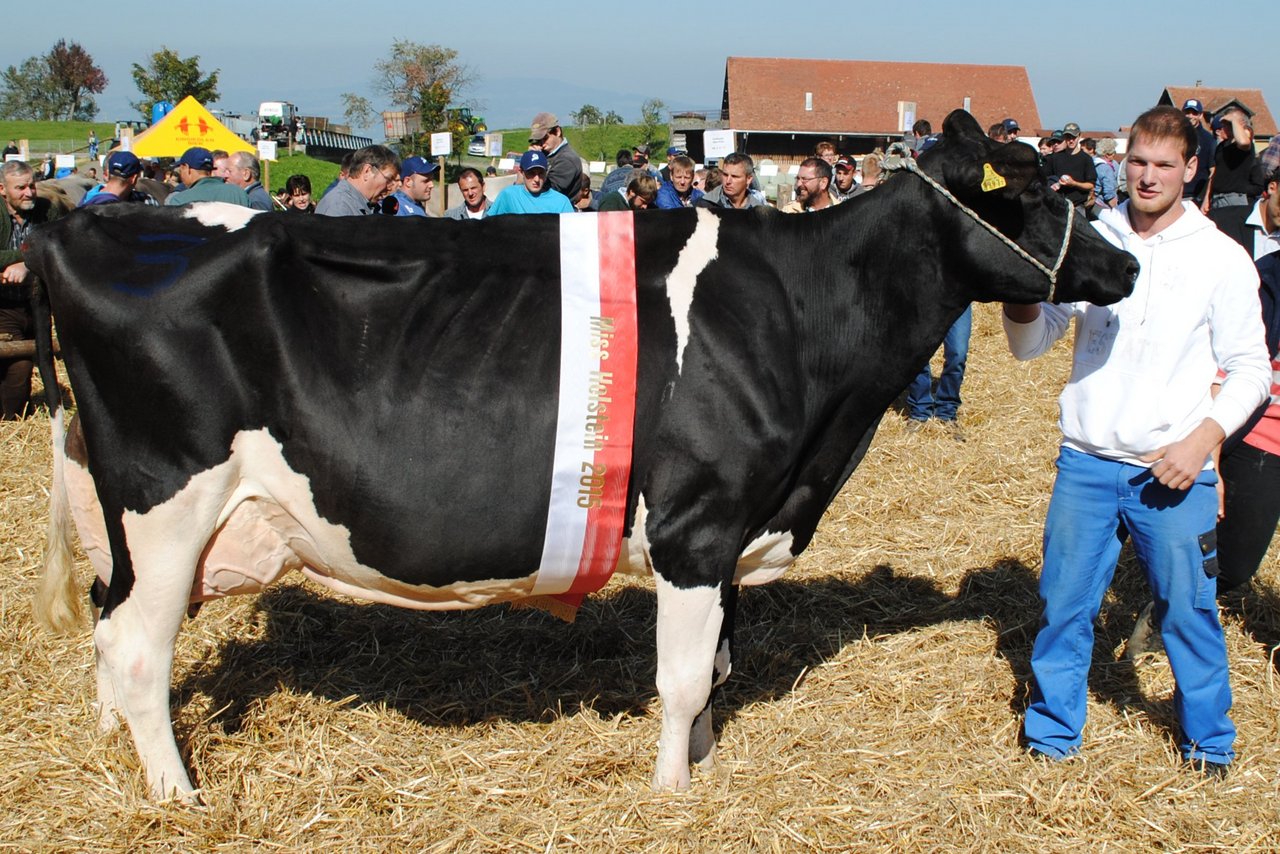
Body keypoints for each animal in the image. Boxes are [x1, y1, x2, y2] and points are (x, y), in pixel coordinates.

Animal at [27, 110, 1131, 798]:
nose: (1122, 264)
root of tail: (80, 225)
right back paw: (176, 796)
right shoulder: (696, 524)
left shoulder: (730, 530)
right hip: (167, 500)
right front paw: (671, 791)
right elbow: (683, 676)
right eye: (1033, 189)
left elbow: (718, 665)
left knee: (106, 628)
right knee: (137, 648)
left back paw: (110, 750)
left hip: (122, 518)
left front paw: (701, 764)